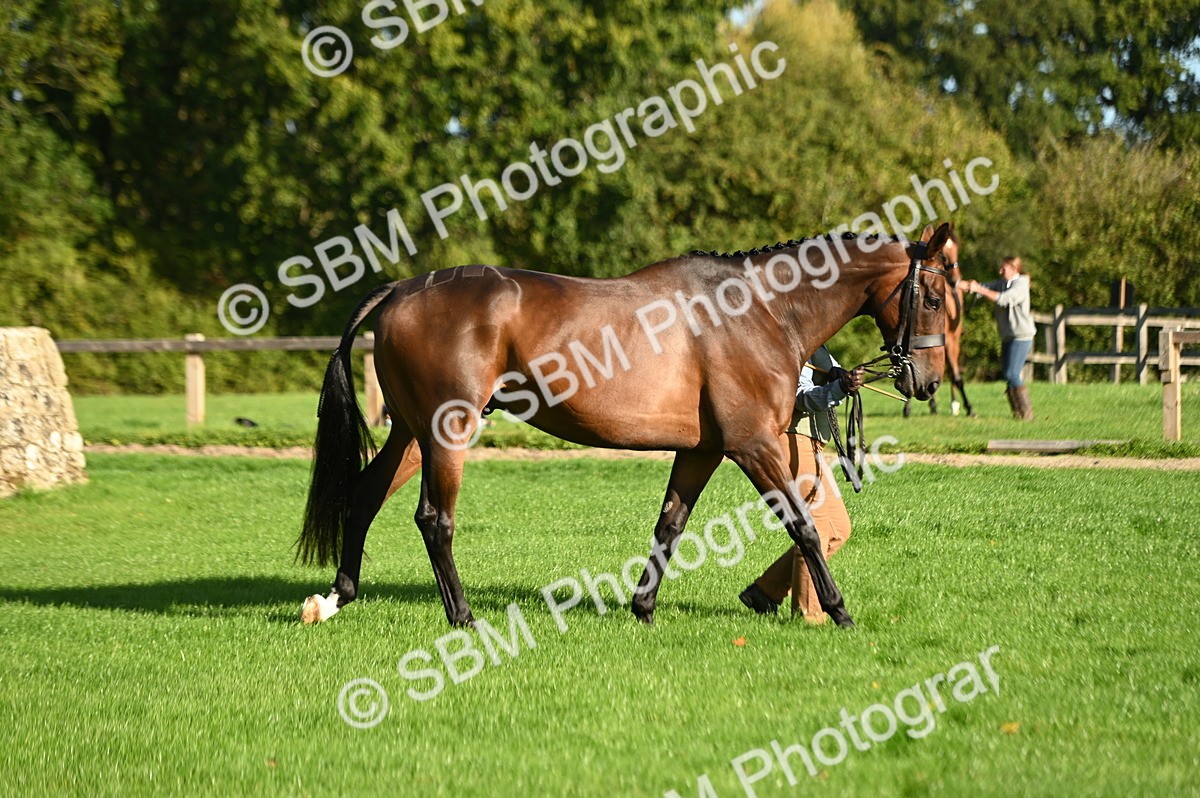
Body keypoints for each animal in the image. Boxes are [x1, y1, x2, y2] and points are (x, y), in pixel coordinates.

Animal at [297, 223, 954, 630]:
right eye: (932, 298)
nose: (926, 382)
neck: (761, 310)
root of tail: (401, 290)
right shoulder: (754, 446)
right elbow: (805, 528)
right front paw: (840, 611)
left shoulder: (703, 450)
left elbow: (670, 525)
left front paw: (643, 607)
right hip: (447, 432)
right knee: (434, 519)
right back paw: (461, 616)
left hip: (413, 432)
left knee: (364, 495)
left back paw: (337, 597)